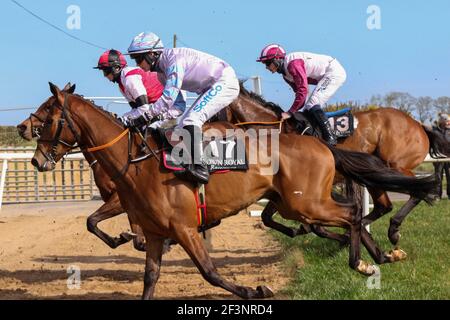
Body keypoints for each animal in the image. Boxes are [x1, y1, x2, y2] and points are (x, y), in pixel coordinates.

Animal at [230, 85, 448, 245]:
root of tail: (419, 125)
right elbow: (267, 217)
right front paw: (300, 229)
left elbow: (306, 224)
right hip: (373, 171)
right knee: (384, 206)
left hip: (395, 166)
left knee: (417, 189)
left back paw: (392, 230)